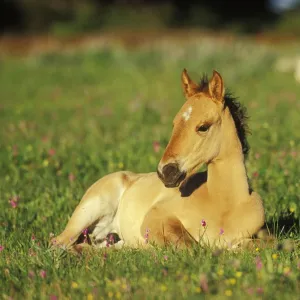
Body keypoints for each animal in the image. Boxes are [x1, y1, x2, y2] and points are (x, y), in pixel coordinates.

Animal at [51, 69, 264, 250]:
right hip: (88, 212)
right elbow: (192, 247)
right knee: (59, 243)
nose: (165, 172)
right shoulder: (155, 217)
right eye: (174, 123)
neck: (226, 205)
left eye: (203, 126)